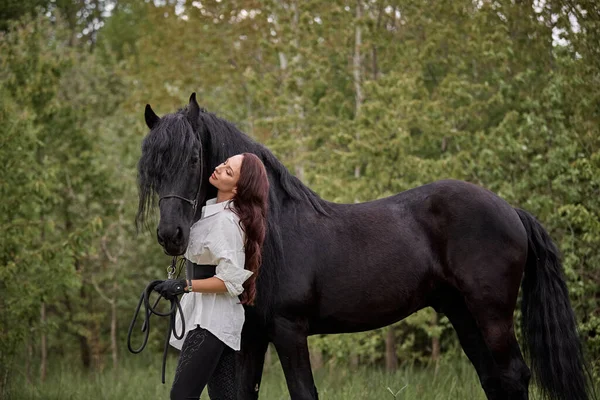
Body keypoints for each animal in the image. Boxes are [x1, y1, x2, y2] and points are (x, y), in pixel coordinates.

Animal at [138, 94, 592, 400]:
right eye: (153, 167)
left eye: (194, 158)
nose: (171, 234)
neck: (268, 231)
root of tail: (510, 210)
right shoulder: (251, 336)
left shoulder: (289, 330)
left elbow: (304, 393)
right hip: (463, 313)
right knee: (494, 378)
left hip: (491, 313)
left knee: (513, 375)